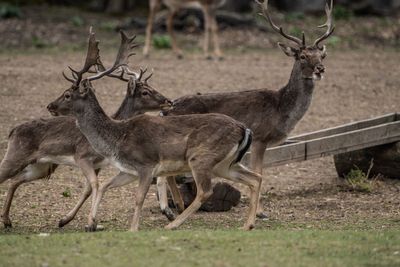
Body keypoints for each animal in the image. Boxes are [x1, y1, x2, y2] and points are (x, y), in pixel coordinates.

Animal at [0, 28, 171, 231]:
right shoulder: (81, 156)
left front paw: (69, 220)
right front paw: (88, 222)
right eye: (145, 92)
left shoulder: (98, 164)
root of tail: (12, 131)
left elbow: (89, 188)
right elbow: (94, 186)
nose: (168, 101)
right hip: (16, 155)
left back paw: (7, 220)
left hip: (40, 166)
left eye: (151, 88)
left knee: (15, 180)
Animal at [47, 49, 264, 232]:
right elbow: (105, 185)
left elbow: (138, 197)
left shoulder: (146, 164)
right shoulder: (128, 170)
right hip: (225, 164)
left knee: (205, 191)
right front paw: (90, 223)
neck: (117, 139)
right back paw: (248, 225)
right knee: (255, 178)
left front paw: (133, 228)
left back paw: (172, 224)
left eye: (67, 94)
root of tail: (244, 128)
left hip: (201, 157)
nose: (50, 106)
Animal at [158, 0, 336, 219]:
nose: (320, 69)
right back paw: (171, 208)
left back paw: (177, 206)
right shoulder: (260, 137)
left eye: (322, 55)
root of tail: (166, 110)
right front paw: (261, 212)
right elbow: (260, 172)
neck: (281, 110)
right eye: (302, 56)